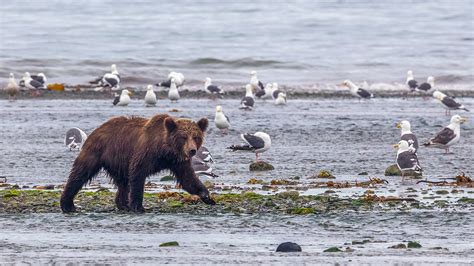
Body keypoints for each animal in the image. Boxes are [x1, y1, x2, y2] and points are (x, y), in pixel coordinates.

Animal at [59, 113, 215, 213]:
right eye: (183, 137)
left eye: (196, 136)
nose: (192, 150)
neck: (164, 150)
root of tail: (97, 129)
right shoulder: (145, 153)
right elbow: (137, 174)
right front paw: (138, 206)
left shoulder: (177, 161)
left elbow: (188, 178)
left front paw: (207, 196)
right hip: (97, 151)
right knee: (80, 173)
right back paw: (68, 205)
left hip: (118, 161)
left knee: (123, 182)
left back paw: (123, 204)